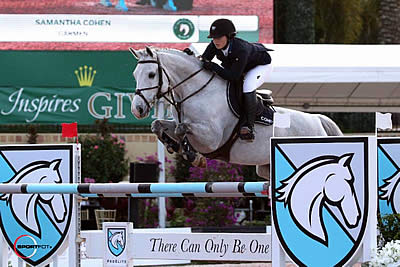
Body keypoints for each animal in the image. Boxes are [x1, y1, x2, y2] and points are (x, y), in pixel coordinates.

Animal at [130, 46, 342, 180]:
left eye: (151, 74)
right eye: (134, 75)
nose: (137, 109)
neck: (194, 91)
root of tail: (317, 120)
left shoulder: (211, 138)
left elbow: (182, 128)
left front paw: (192, 155)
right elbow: (158, 125)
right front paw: (173, 145)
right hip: (266, 167)